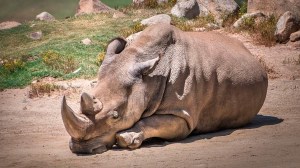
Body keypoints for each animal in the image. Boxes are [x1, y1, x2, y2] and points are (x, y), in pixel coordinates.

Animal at [61, 23, 268, 154]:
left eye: (115, 116)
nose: (80, 148)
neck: (147, 80)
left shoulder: (183, 115)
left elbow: (153, 122)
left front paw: (126, 138)